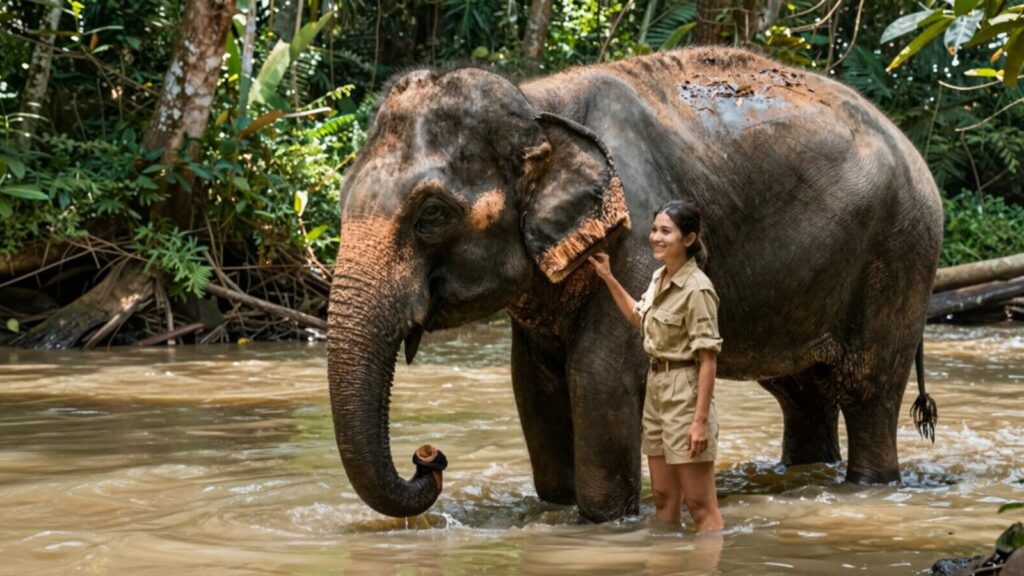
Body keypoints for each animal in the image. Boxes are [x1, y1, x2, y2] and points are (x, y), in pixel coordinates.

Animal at [326, 46, 943, 522]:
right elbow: (533, 383)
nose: (427, 457)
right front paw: (556, 507)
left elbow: (599, 376)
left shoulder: (637, 230)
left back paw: (868, 483)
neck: (537, 104)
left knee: (868, 389)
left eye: (431, 214)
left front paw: (604, 521)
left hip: (900, 253)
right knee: (804, 394)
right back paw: (806, 471)